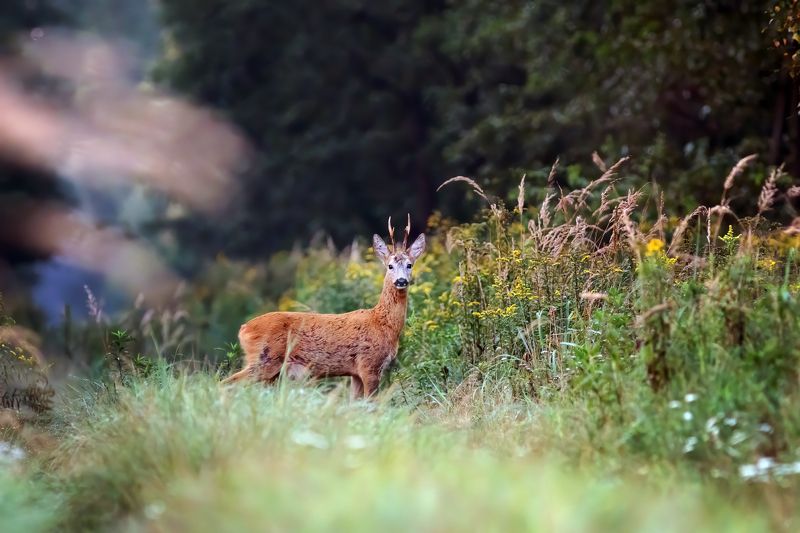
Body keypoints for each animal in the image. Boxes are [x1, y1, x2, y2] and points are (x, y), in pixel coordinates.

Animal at [222, 215, 426, 398]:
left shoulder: (355, 373)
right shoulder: (369, 364)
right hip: (264, 359)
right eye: (390, 266)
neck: (382, 323)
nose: (401, 281)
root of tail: (244, 328)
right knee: (226, 383)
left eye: (410, 265)